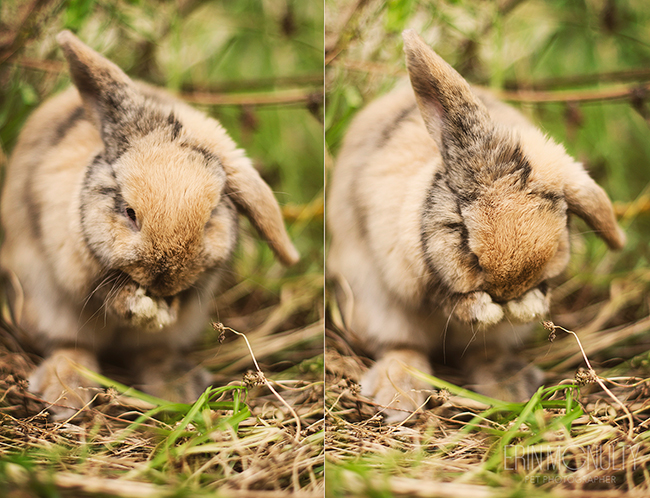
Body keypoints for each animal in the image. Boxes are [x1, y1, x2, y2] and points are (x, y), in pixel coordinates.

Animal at [0, 31, 298, 418]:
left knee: (152, 351)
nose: (163, 280)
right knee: (70, 346)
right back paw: (66, 393)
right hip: (45, 307)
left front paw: (165, 307)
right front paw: (132, 303)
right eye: (129, 212)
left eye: (210, 218)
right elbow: (102, 292)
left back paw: (178, 387)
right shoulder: (73, 264)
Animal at [326, 29, 624, 422]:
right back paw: (399, 395)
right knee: (401, 347)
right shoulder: (419, 279)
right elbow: (453, 301)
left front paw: (524, 307)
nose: (506, 290)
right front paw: (487, 309)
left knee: (484, 353)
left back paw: (510, 386)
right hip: (375, 305)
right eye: (463, 231)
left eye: (560, 223)